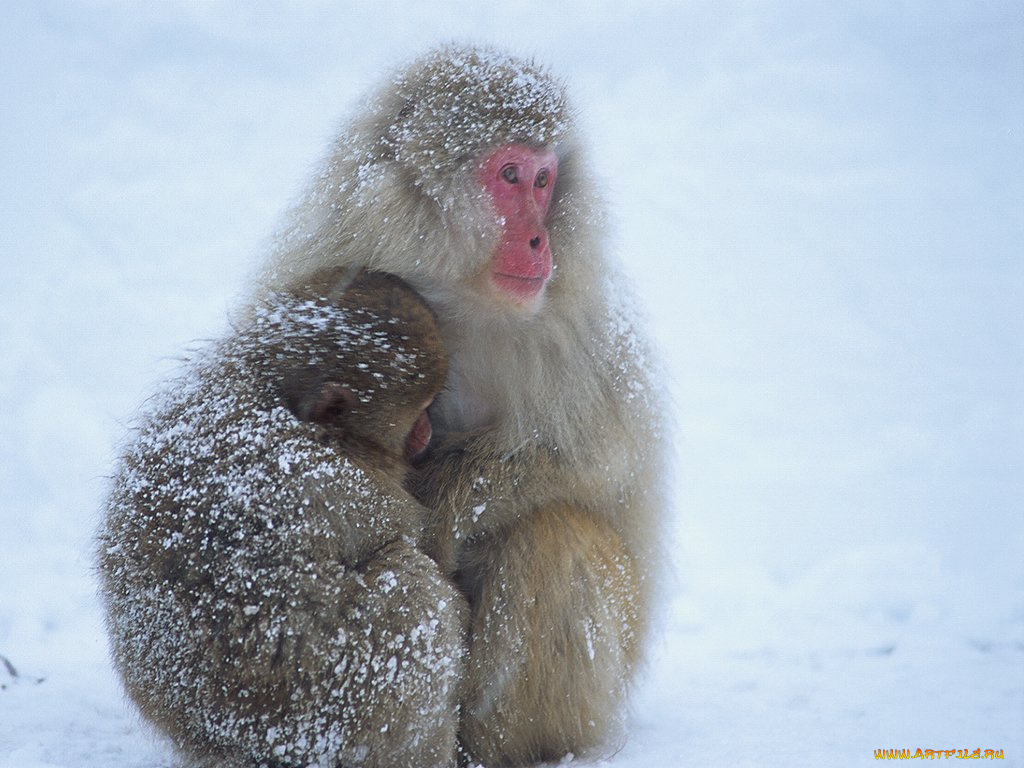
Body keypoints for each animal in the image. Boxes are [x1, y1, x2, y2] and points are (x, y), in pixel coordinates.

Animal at [97, 270, 466, 768]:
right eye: (421, 409)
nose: (426, 431)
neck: (280, 401)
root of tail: (235, 749)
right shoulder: (353, 488)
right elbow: (412, 545)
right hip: (338, 714)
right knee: (413, 586)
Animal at [256, 46, 667, 765]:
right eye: (510, 176)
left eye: (544, 181)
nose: (539, 242)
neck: (461, 294)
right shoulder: (324, 265)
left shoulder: (579, 327)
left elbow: (597, 457)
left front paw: (446, 508)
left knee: (552, 537)